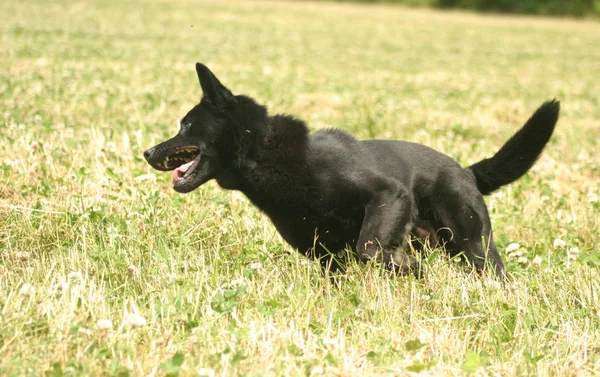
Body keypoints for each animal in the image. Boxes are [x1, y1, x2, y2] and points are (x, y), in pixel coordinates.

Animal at [143, 63, 560, 278]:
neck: (269, 157)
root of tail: (467, 171)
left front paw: (406, 266)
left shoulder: (387, 195)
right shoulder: (324, 256)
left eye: (186, 125)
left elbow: (370, 247)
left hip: (473, 243)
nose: (147, 152)